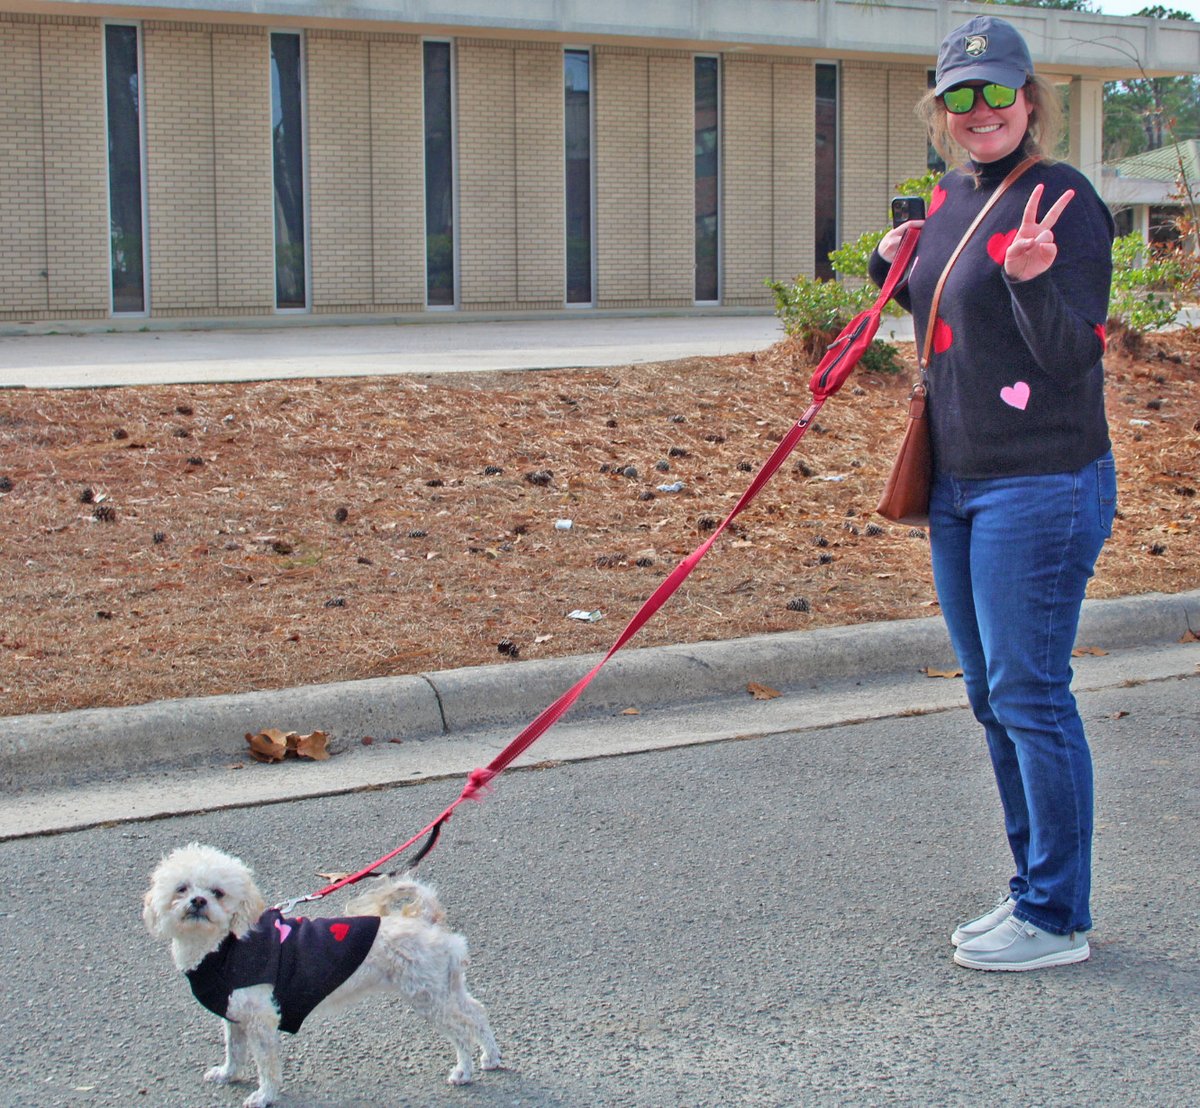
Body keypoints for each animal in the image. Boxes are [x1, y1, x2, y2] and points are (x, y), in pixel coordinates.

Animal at [142, 840, 499, 1108]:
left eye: (218, 892)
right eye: (181, 888)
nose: (198, 901)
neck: (222, 946)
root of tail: (425, 919)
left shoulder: (261, 1019)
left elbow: (266, 1063)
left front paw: (264, 1095)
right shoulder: (235, 1014)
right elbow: (234, 1049)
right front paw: (228, 1074)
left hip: (428, 998)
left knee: (461, 1031)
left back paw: (464, 1071)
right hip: (446, 989)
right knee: (477, 1013)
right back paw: (491, 1056)